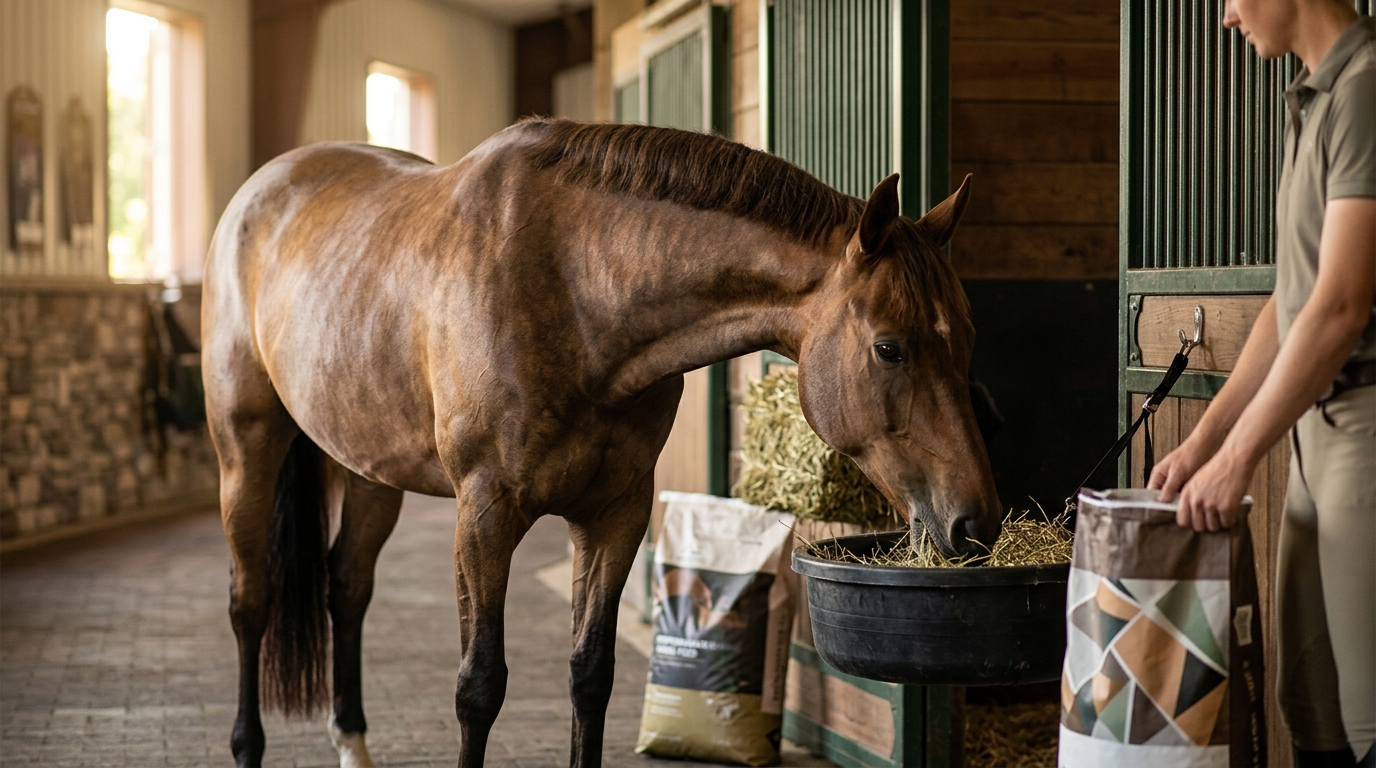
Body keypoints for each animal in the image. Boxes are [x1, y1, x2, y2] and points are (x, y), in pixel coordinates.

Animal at [201, 118, 1002, 768]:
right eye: (890, 348)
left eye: (968, 339)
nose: (976, 523)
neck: (575, 285)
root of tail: (260, 192)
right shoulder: (483, 513)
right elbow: (478, 686)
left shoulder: (615, 511)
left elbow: (591, 674)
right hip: (245, 451)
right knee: (250, 602)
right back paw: (245, 744)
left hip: (370, 469)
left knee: (346, 587)